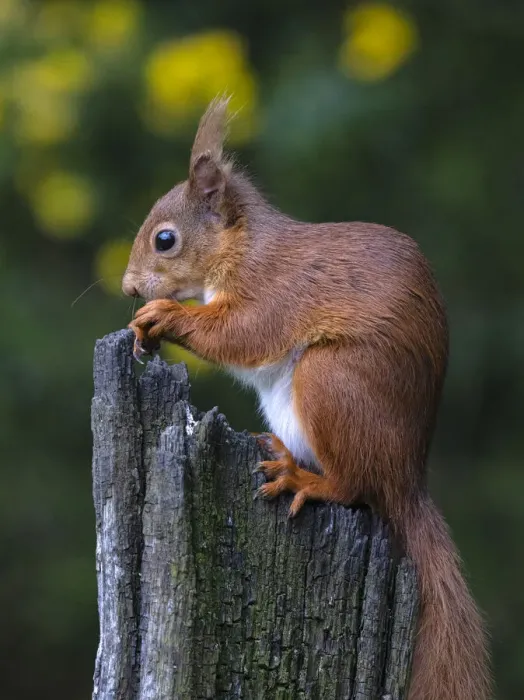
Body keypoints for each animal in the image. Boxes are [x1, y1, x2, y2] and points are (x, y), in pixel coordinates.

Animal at [123, 98, 491, 700]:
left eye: (165, 240)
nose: (130, 288)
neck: (241, 248)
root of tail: (409, 477)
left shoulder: (274, 290)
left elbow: (242, 334)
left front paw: (164, 316)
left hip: (331, 381)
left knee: (355, 487)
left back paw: (305, 480)